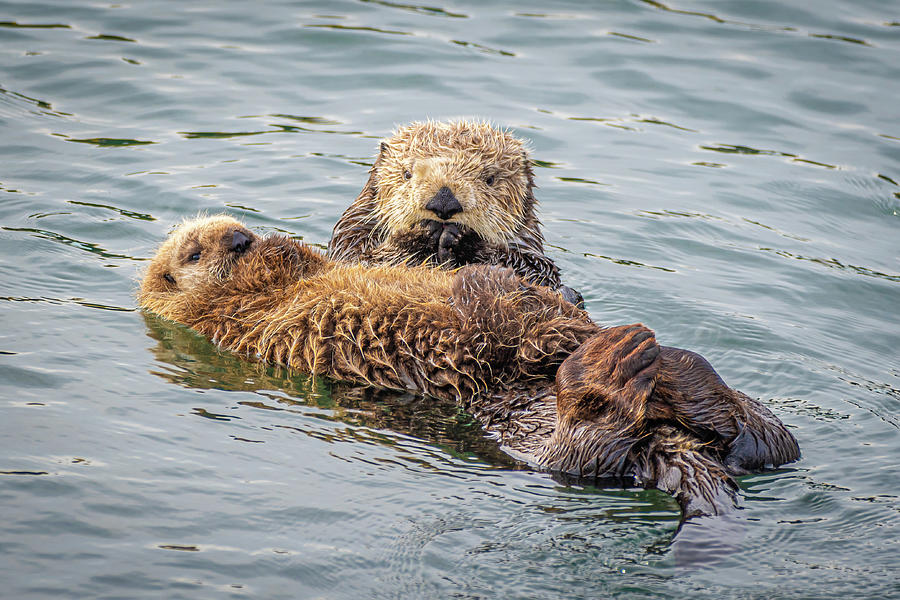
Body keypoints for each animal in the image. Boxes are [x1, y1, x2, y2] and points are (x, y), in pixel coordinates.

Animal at [142, 216, 800, 520]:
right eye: (193, 251)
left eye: (228, 229)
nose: (236, 239)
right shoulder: (230, 315)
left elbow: (311, 255)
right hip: (524, 429)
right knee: (583, 458)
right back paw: (609, 371)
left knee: (764, 441)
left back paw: (682, 373)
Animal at [328, 119, 584, 304]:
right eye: (407, 174)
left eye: (490, 179)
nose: (443, 202)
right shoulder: (352, 234)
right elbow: (361, 261)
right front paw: (419, 235)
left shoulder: (529, 246)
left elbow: (536, 270)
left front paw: (464, 239)